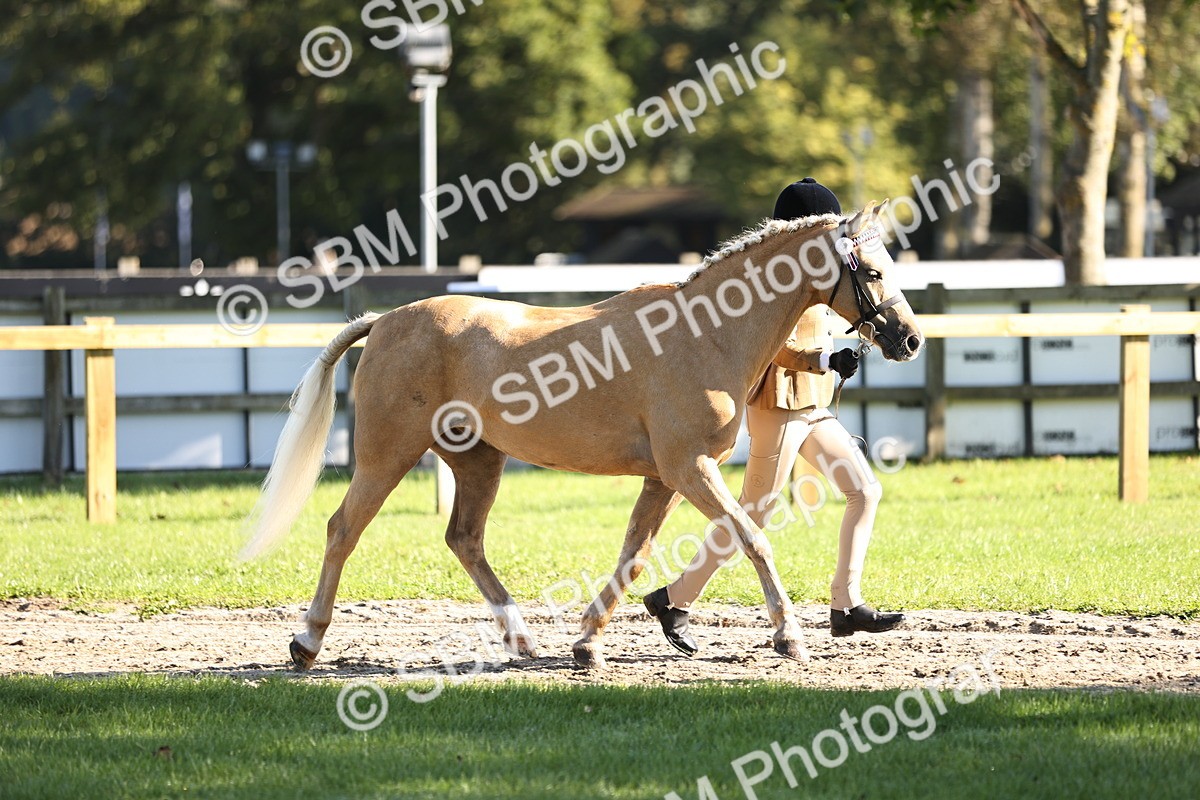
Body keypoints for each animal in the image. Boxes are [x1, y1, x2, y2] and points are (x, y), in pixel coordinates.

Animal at [243, 202, 924, 670]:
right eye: (870, 270)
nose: (910, 339)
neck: (705, 335)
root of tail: (385, 321)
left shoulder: (664, 478)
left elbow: (634, 556)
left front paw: (588, 643)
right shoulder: (690, 468)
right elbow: (752, 537)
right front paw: (790, 636)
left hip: (477, 462)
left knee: (464, 539)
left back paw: (522, 640)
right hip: (387, 457)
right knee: (342, 530)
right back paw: (306, 642)